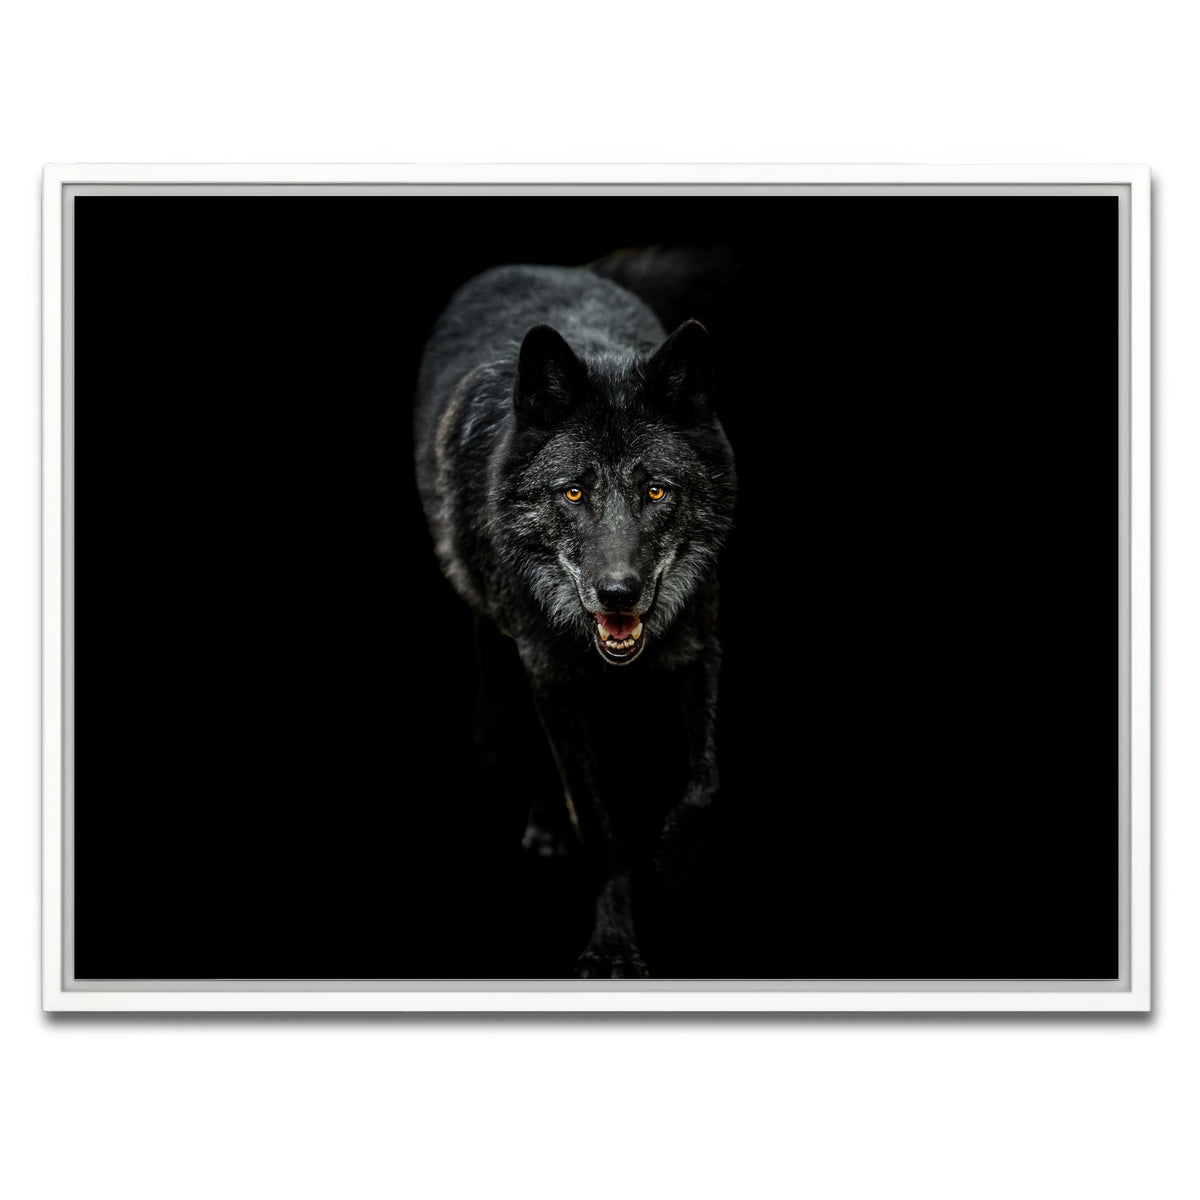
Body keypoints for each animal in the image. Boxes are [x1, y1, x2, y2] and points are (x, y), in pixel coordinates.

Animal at [414, 263, 737, 977]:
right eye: (573, 492)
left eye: (656, 490)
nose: (618, 593)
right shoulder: (551, 678)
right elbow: (597, 821)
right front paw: (614, 941)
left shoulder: (701, 647)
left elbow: (705, 785)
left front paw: (675, 872)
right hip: (498, 655)